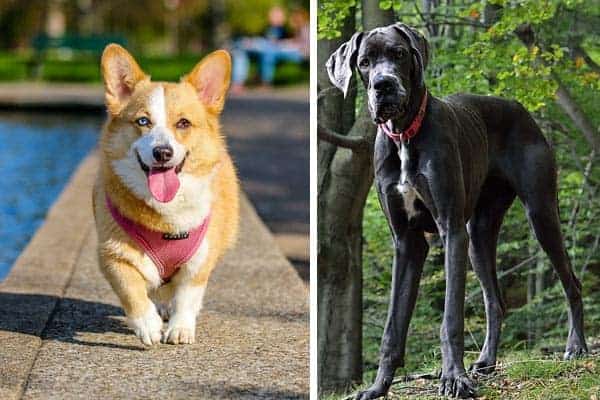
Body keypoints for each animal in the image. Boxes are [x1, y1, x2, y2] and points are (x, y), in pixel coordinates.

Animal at [92, 43, 238, 344]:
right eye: (142, 121)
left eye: (183, 123)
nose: (163, 152)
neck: (166, 216)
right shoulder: (112, 255)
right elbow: (131, 290)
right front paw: (147, 325)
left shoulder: (200, 261)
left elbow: (187, 296)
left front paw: (181, 328)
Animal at [326, 23, 588, 398]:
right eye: (364, 62)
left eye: (399, 54)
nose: (383, 85)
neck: (405, 136)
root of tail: (520, 108)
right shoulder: (408, 242)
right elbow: (393, 326)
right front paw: (377, 387)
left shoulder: (450, 230)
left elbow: (450, 318)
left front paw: (453, 378)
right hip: (478, 236)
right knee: (495, 301)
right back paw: (487, 361)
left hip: (540, 213)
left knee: (572, 283)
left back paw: (575, 347)